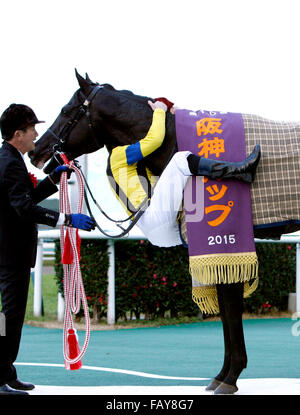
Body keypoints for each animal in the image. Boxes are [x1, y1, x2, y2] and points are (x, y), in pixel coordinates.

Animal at [28, 71, 300, 396]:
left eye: (67, 110)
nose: (35, 150)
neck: (173, 141)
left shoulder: (227, 245)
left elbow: (230, 311)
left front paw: (230, 376)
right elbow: (226, 312)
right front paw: (222, 376)